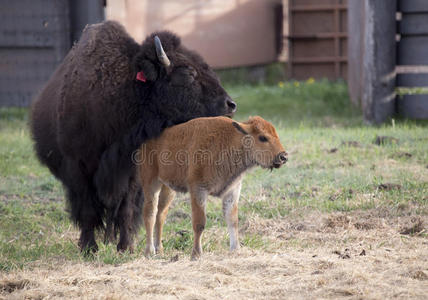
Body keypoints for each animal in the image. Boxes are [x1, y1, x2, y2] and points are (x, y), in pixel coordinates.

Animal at [30, 21, 237, 253]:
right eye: (187, 74)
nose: (230, 104)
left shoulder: (132, 173)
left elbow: (126, 210)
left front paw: (126, 247)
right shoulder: (78, 168)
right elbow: (88, 211)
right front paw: (89, 248)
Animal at [139, 116, 290, 258]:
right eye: (262, 137)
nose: (283, 156)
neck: (232, 141)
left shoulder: (232, 191)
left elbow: (232, 220)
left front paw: (236, 249)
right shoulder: (198, 190)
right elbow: (199, 223)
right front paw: (196, 254)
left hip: (168, 188)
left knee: (161, 215)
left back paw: (160, 250)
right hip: (151, 183)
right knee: (150, 214)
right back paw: (149, 252)